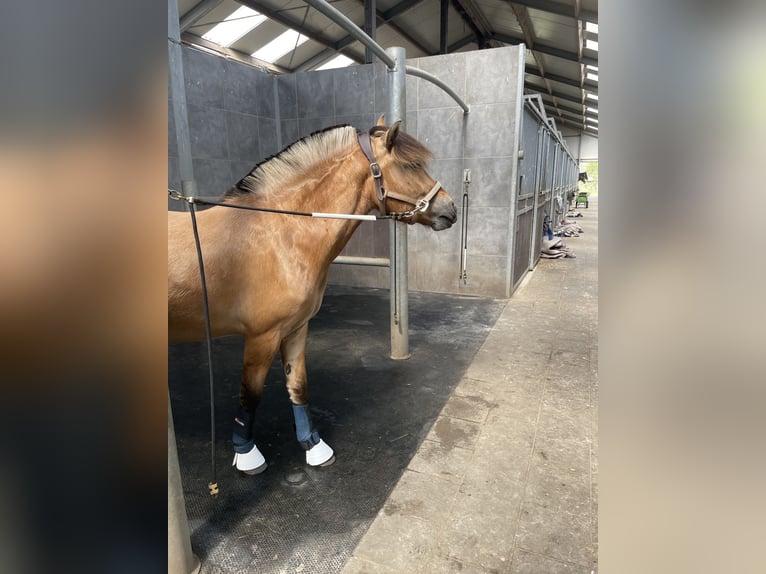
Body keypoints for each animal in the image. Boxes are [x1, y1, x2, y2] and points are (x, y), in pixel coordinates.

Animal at [168, 119, 456, 474]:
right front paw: (246, 454)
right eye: (411, 165)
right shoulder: (261, 336)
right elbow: (250, 394)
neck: (282, 233)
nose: (450, 209)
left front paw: (313, 447)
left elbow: (298, 387)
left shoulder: (295, 328)